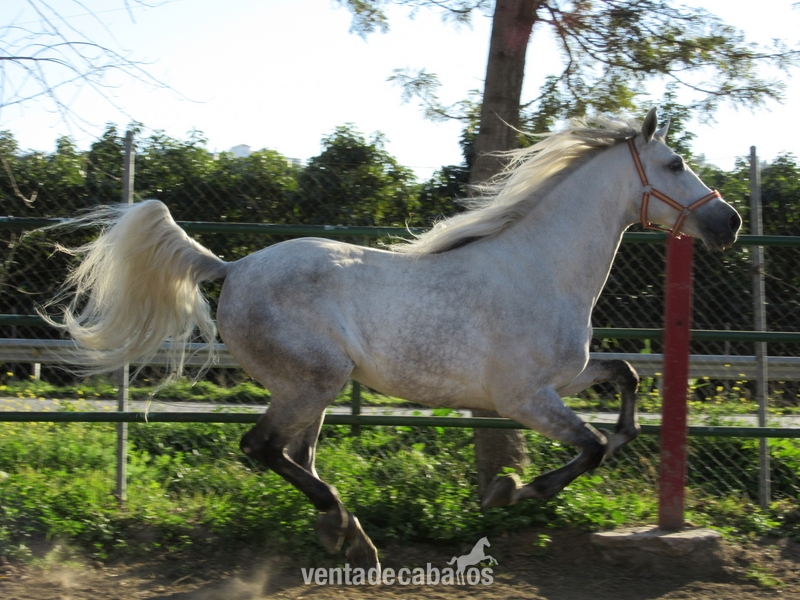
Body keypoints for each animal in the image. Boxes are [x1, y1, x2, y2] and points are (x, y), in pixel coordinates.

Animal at [43, 108, 741, 569]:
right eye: (675, 164)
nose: (728, 221)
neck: (540, 268)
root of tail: (233, 268)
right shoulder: (525, 399)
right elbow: (591, 447)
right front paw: (514, 491)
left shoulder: (566, 377)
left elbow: (627, 381)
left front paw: (545, 473)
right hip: (314, 381)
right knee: (263, 447)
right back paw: (351, 531)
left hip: (315, 389)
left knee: (295, 454)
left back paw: (339, 528)